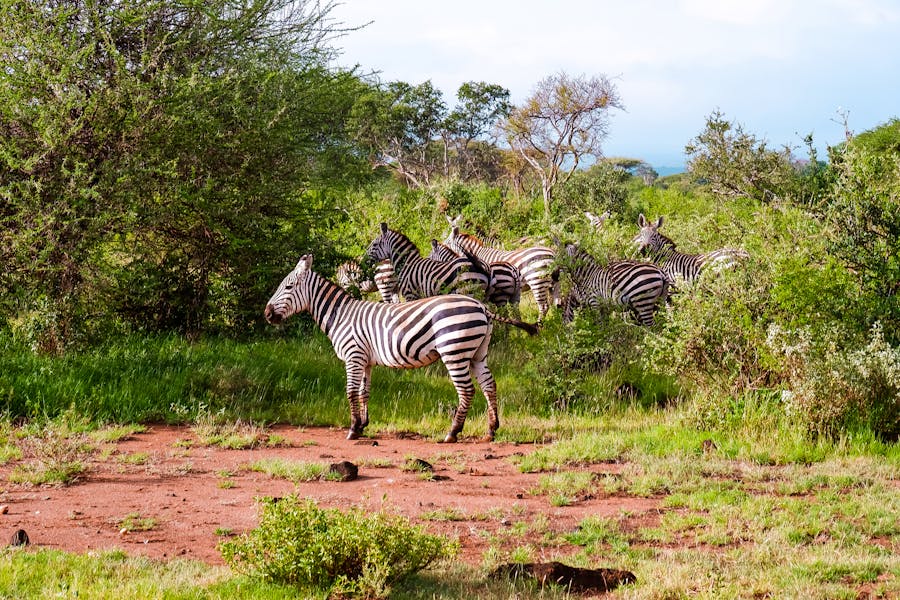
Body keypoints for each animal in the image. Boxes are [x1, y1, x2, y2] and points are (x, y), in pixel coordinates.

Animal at [264, 255, 502, 442]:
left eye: (288, 287)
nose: (267, 314)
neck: (340, 316)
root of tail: (481, 306)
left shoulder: (353, 356)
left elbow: (350, 392)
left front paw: (353, 430)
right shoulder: (365, 360)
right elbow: (363, 392)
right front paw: (362, 425)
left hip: (454, 351)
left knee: (466, 390)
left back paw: (452, 433)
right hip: (477, 354)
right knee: (489, 385)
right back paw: (491, 430)